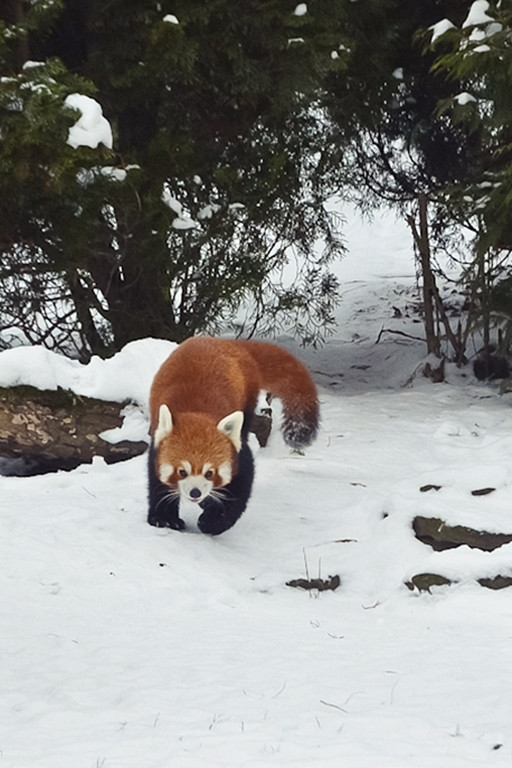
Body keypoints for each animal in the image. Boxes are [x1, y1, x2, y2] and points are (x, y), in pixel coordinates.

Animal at [146, 340, 318, 536]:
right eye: (182, 471)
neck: (196, 412)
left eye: (210, 473)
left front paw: (212, 521)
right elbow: (157, 484)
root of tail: (227, 342)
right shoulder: (157, 448)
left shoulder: (238, 454)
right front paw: (165, 519)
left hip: (248, 397)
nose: (195, 493)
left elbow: (239, 489)